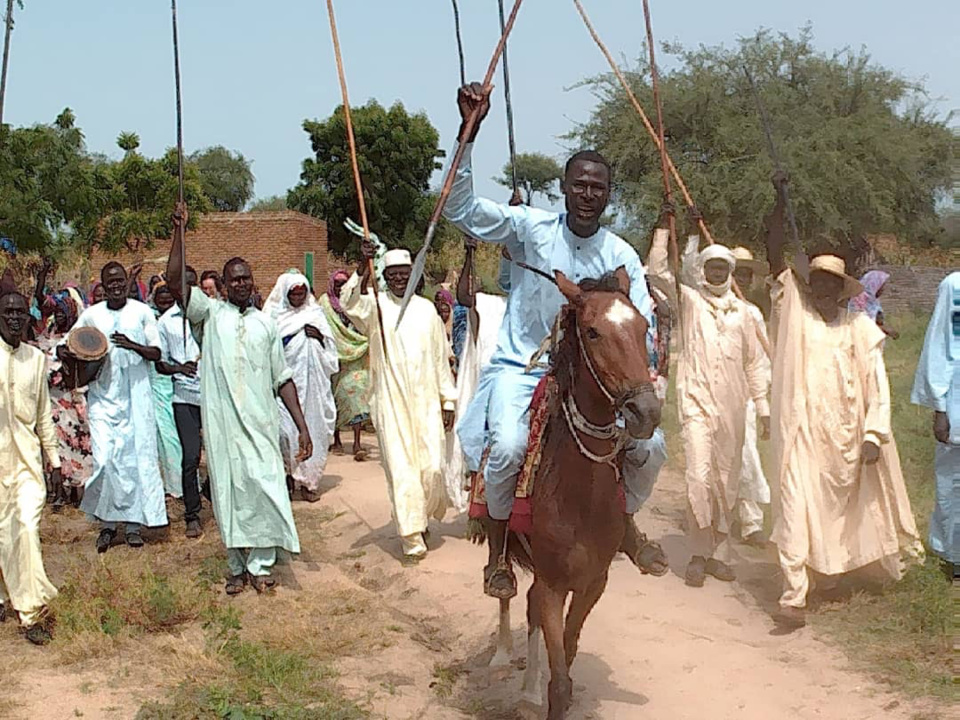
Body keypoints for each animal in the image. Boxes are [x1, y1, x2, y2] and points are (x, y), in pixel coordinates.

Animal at [488, 268, 660, 720]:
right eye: (593, 332)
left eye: (644, 327)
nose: (647, 413)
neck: (581, 496)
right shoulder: (554, 584)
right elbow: (561, 683)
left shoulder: (592, 583)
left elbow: (566, 655)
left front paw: (541, 688)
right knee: (510, 594)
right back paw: (502, 655)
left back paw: (528, 690)